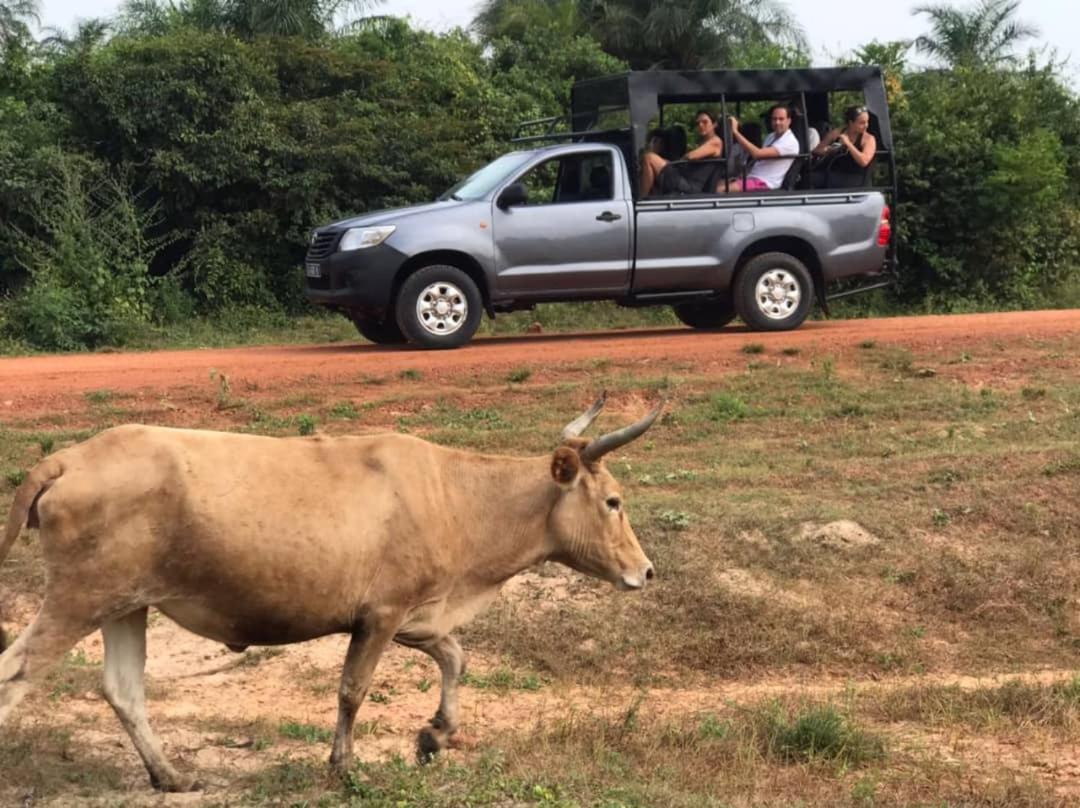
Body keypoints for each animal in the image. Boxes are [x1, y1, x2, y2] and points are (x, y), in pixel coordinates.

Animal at [0, 395, 656, 790]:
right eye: (613, 501)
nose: (646, 571)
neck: (457, 495)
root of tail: (70, 457)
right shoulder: (383, 613)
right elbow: (352, 690)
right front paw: (344, 767)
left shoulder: (416, 614)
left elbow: (454, 656)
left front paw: (435, 734)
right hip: (79, 598)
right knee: (18, 669)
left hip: (126, 604)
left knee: (123, 689)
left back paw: (172, 777)